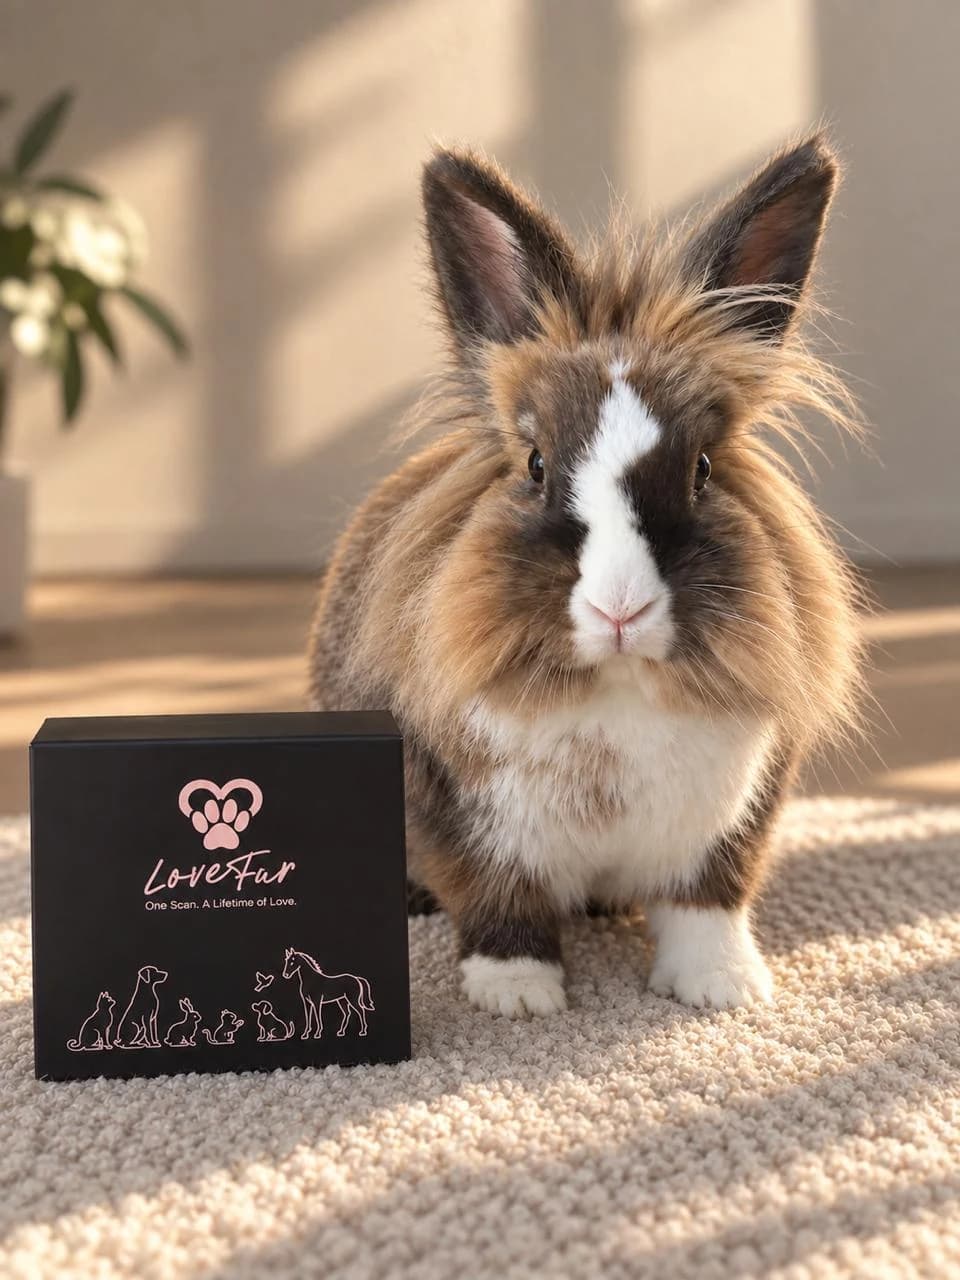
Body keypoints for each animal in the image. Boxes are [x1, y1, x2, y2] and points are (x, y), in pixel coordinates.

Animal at [308, 136, 864, 1018]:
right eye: (535, 464)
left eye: (703, 470)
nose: (620, 609)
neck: (618, 690)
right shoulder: (466, 824)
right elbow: (497, 902)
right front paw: (518, 996)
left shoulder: (735, 823)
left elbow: (708, 903)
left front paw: (721, 988)